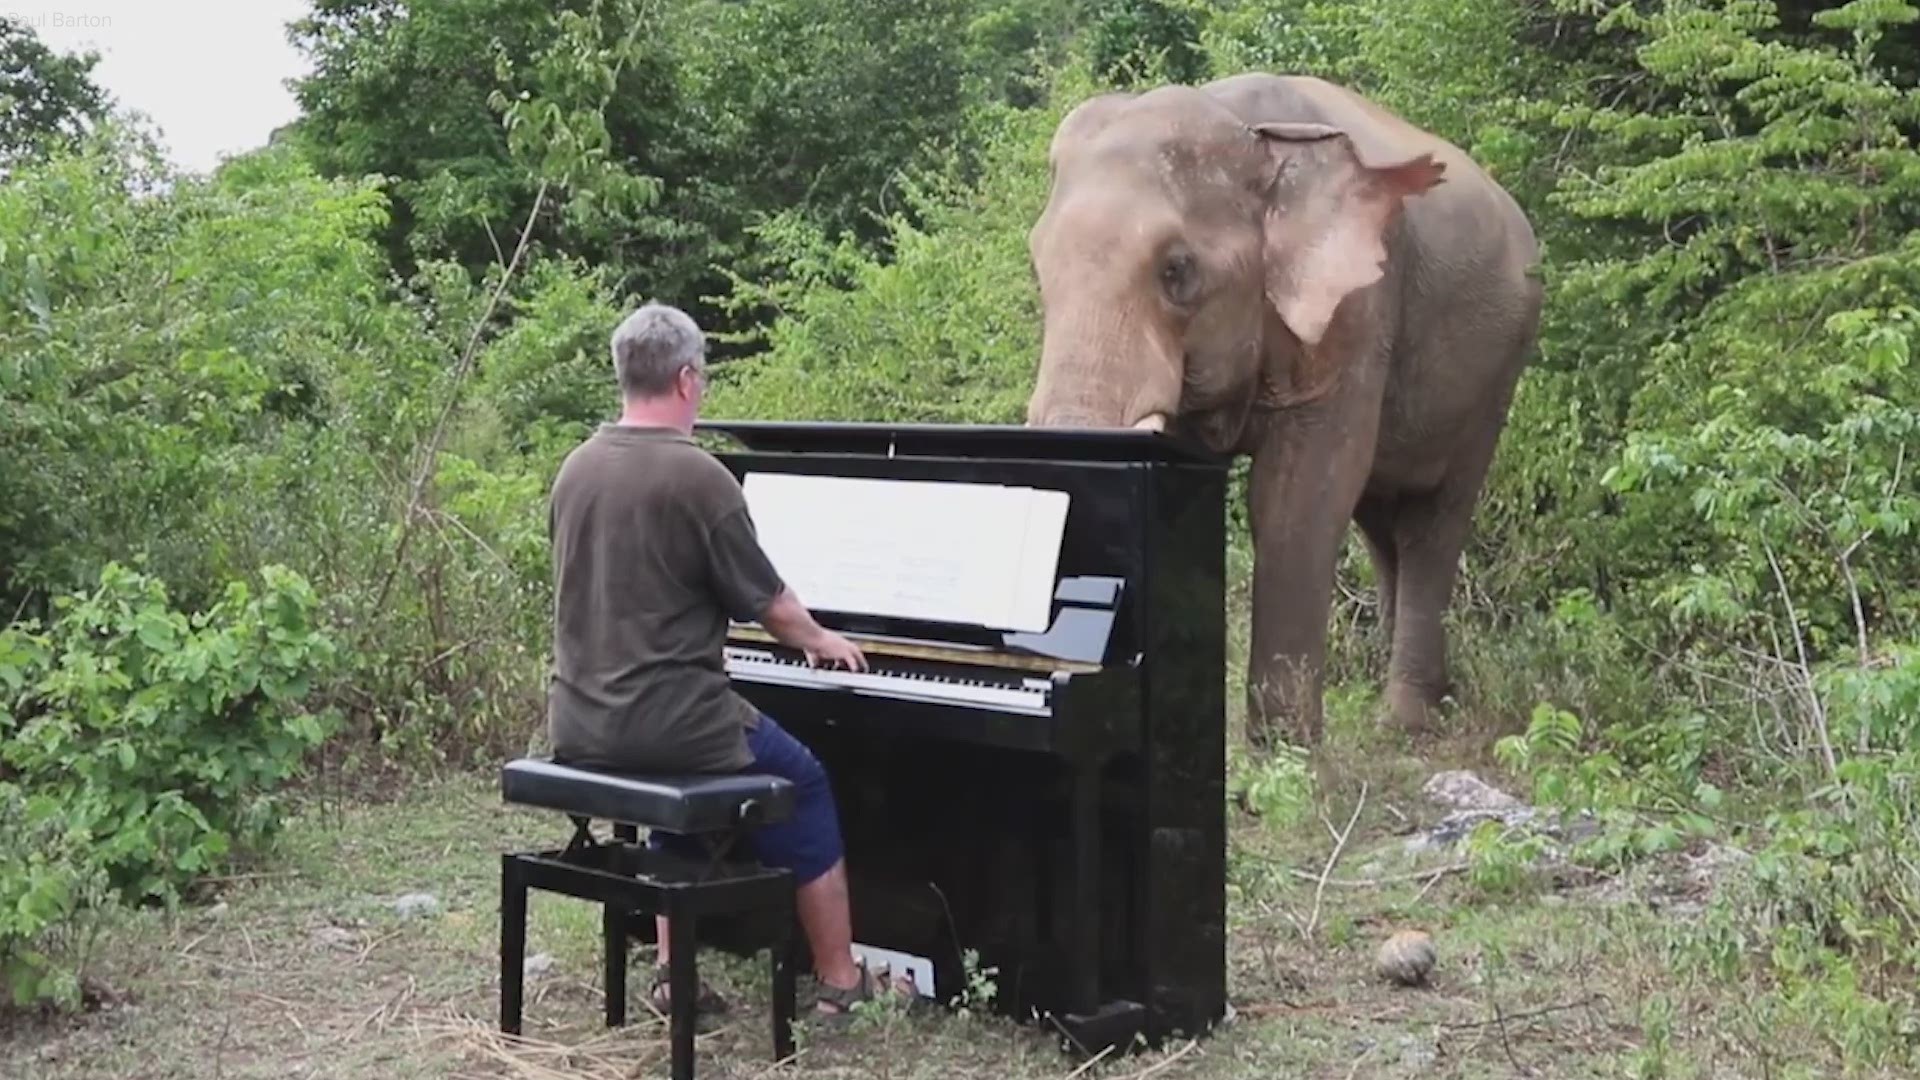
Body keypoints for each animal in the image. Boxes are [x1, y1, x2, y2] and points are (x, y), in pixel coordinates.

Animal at [1021, 73, 1543, 749]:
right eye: (1039, 269)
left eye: (1177, 271)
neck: (1250, 132)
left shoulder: (1358, 311)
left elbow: (1297, 496)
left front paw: (1284, 752)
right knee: (1383, 520)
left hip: (1497, 370)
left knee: (1432, 519)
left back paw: (1403, 722)